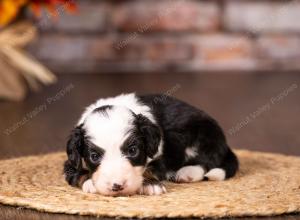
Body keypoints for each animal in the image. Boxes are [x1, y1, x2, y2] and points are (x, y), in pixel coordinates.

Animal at [63, 93, 239, 197]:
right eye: (94, 156)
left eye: (133, 151)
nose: (117, 186)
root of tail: (224, 144)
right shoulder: (70, 161)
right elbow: (78, 172)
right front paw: (89, 183)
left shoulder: (161, 153)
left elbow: (151, 168)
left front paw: (151, 185)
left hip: (203, 134)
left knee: (207, 161)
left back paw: (187, 173)